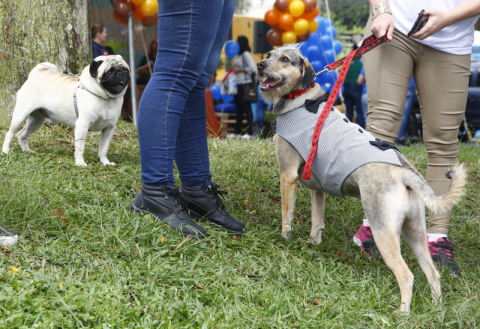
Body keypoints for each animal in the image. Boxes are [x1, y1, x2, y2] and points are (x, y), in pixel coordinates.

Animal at [1, 55, 130, 167]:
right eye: (109, 73)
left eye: (126, 70)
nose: (120, 73)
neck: (106, 98)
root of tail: (37, 73)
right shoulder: (83, 125)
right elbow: (80, 148)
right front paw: (80, 163)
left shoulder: (109, 128)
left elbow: (103, 149)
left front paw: (105, 162)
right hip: (20, 115)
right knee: (10, 134)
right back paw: (5, 151)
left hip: (36, 120)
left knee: (22, 135)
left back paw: (27, 151)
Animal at [256, 44, 466, 312]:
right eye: (269, 54)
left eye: (284, 59)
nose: (260, 65)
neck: (301, 100)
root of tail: (404, 171)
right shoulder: (317, 187)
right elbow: (317, 219)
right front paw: (313, 242)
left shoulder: (288, 175)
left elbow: (287, 215)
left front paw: (284, 239)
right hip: (415, 232)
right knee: (432, 273)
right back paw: (436, 310)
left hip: (384, 232)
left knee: (406, 275)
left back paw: (403, 312)